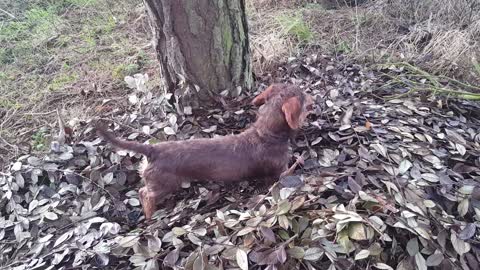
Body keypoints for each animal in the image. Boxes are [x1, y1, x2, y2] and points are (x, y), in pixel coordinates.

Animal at [96, 84, 316, 219]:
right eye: (304, 99)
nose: (314, 98)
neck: (266, 134)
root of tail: (153, 149)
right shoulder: (280, 172)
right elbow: (290, 168)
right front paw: (301, 159)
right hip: (165, 184)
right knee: (144, 194)